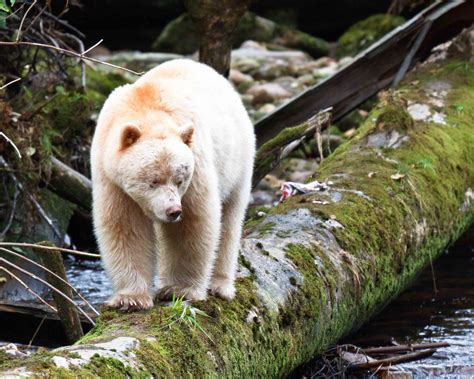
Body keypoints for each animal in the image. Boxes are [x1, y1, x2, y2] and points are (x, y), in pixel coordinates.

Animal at [91, 59, 258, 312]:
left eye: (179, 180)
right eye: (153, 181)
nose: (173, 210)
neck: (146, 109)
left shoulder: (197, 161)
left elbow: (193, 223)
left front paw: (179, 290)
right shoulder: (110, 175)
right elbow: (124, 225)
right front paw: (131, 298)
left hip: (238, 159)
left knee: (230, 219)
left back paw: (220, 285)